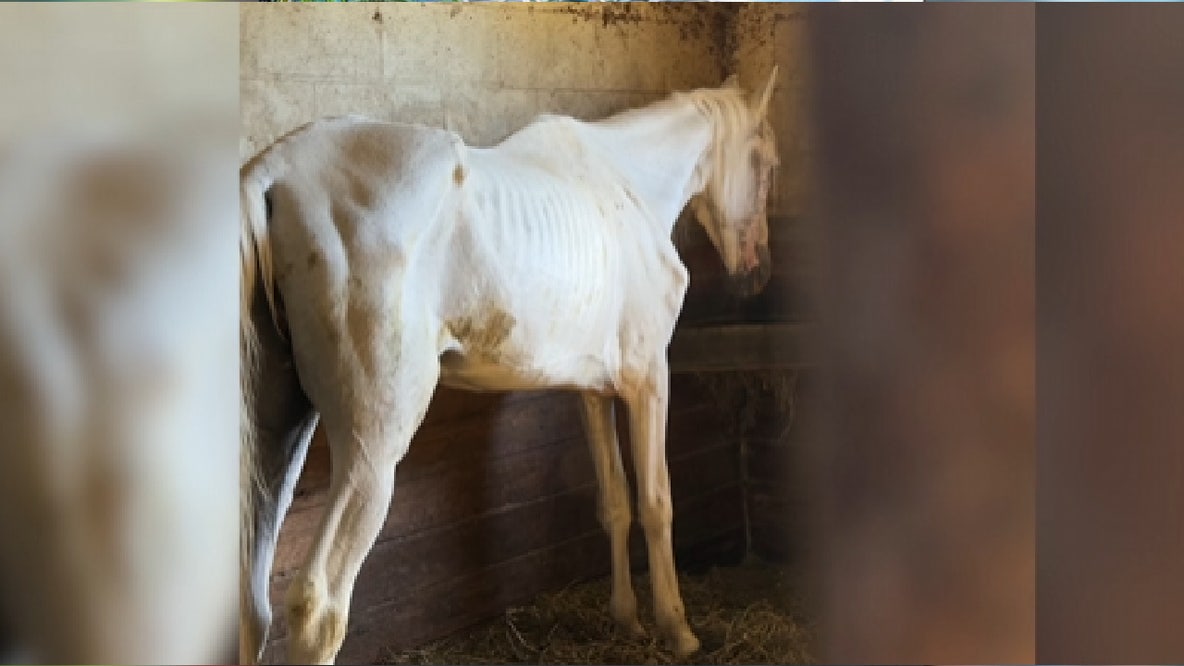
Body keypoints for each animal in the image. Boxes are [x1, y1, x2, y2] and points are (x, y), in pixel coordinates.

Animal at [240, 69, 779, 665]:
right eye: (767, 163)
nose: (757, 273)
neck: (626, 185)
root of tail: (274, 171)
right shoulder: (648, 382)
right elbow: (657, 501)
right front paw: (677, 629)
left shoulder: (593, 391)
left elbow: (615, 501)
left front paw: (628, 620)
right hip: (370, 449)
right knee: (318, 606)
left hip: (279, 440)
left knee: (251, 606)